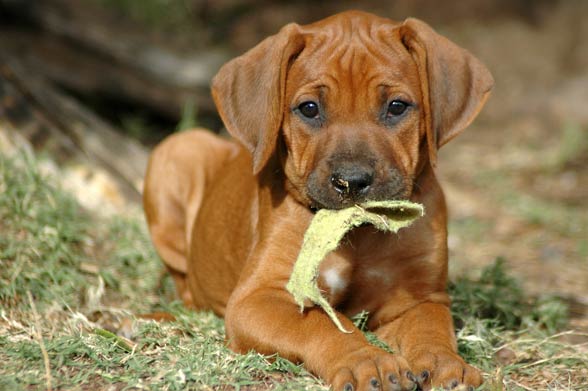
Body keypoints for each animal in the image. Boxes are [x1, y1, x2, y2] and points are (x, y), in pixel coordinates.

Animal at [145, 9, 494, 391]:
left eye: (397, 107)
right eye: (309, 108)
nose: (352, 181)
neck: (358, 233)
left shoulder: (419, 297)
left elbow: (431, 328)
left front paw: (446, 364)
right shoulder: (259, 296)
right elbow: (324, 324)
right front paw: (367, 361)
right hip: (178, 149)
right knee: (186, 289)